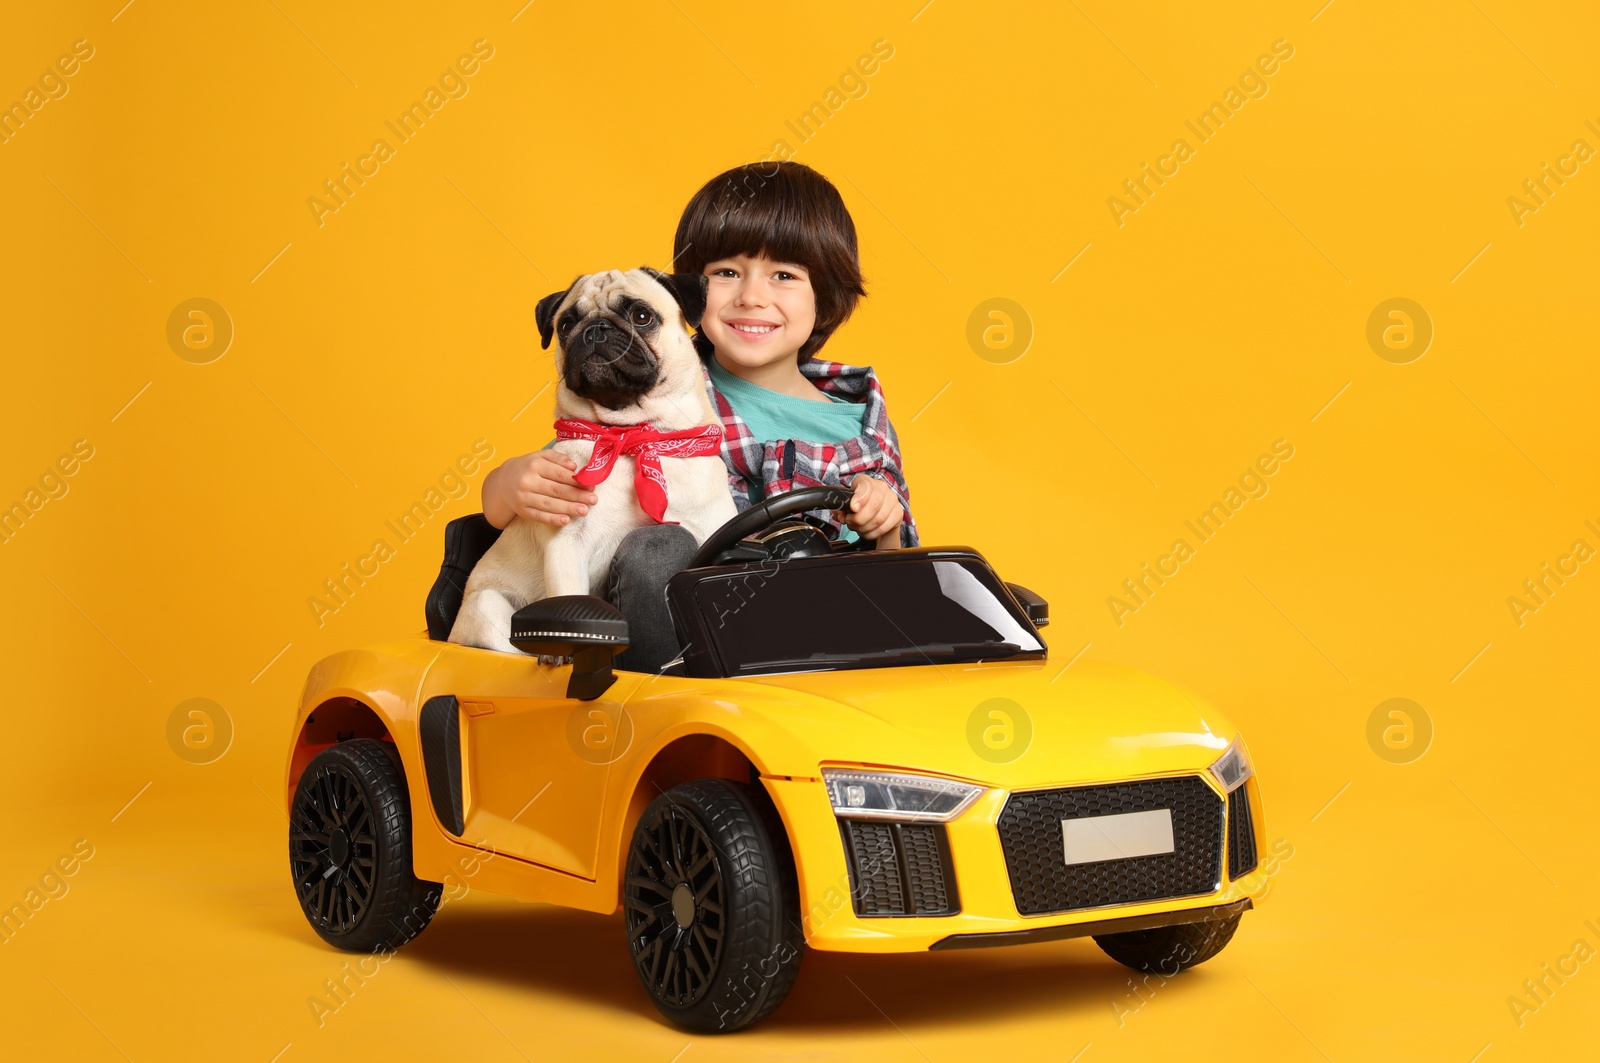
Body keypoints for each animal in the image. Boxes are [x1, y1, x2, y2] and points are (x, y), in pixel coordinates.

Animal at [444, 267, 732, 646]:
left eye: (642, 317)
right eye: (566, 325)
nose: (594, 329)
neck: (631, 435)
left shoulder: (709, 532)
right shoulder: (567, 547)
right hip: (487, 607)